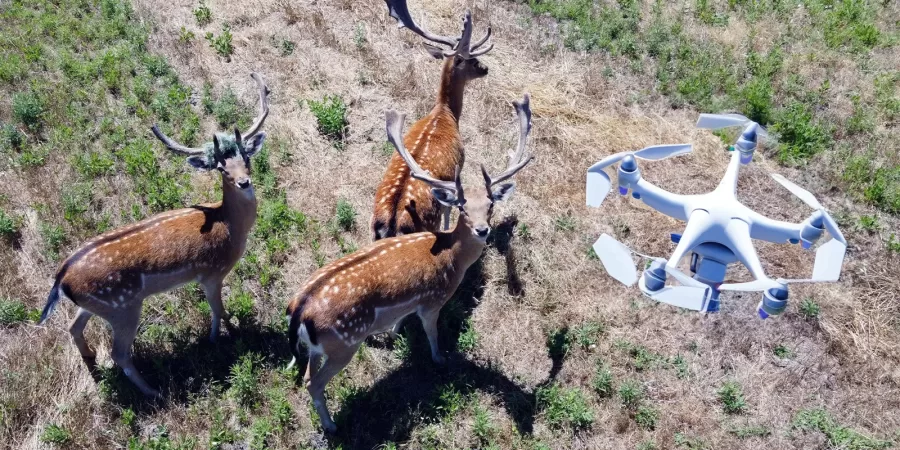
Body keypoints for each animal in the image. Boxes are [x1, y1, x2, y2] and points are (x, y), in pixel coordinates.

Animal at [39, 74, 270, 398]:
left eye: (246, 158)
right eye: (221, 168)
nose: (243, 181)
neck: (229, 225)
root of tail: (61, 278)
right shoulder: (212, 273)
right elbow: (218, 310)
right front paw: (222, 336)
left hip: (96, 305)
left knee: (74, 327)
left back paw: (91, 358)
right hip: (124, 307)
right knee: (119, 353)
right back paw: (153, 392)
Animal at [284, 92, 532, 432]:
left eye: (491, 205)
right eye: (463, 208)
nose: (483, 230)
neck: (453, 257)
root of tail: (299, 309)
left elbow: (400, 320)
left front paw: (393, 332)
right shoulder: (432, 301)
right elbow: (432, 333)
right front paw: (440, 359)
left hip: (317, 347)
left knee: (308, 374)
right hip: (344, 342)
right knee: (314, 383)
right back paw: (332, 427)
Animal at [370, 0, 496, 243]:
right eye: (472, 59)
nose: (486, 69)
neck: (446, 113)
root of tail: (391, 223)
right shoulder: (458, 170)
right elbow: (450, 208)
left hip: (372, 229)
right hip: (427, 222)